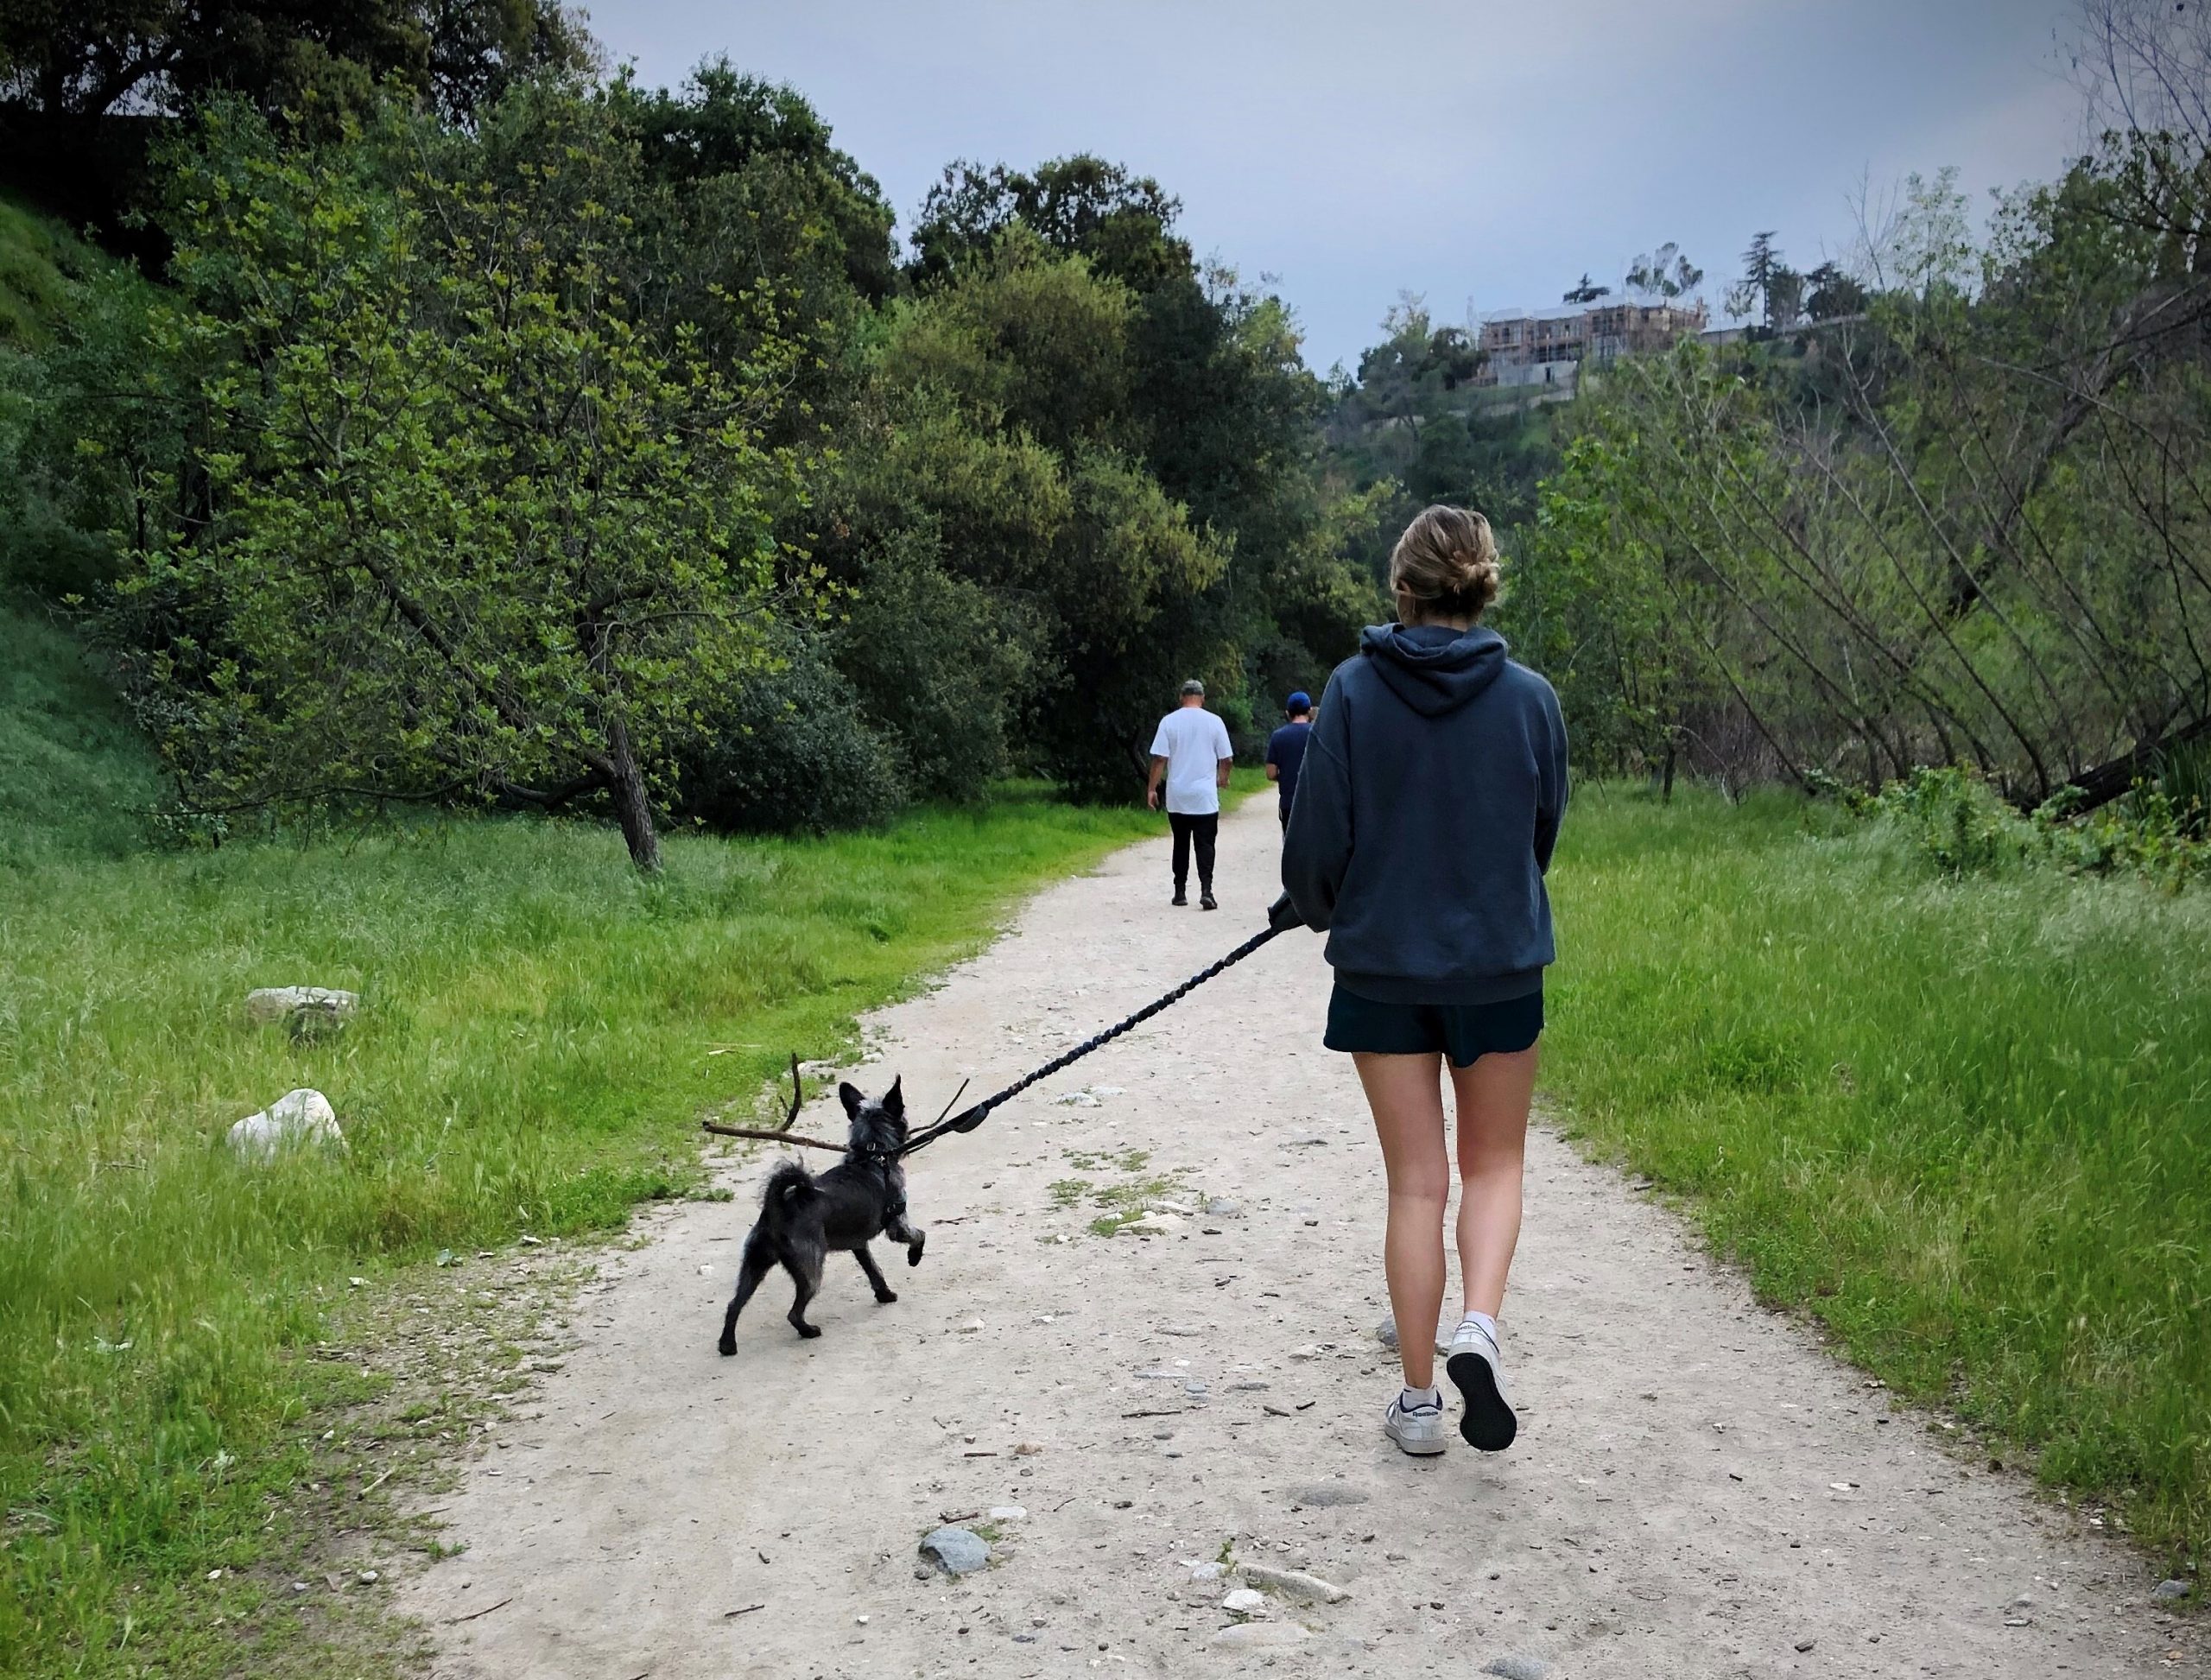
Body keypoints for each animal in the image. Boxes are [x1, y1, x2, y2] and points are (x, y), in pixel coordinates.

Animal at [716, 1074, 924, 1353]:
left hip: (754, 1266)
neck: (871, 1155)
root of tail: (777, 1209)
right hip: (810, 1270)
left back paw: (727, 1345)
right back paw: (808, 1331)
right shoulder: (898, 1226)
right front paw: (914, 1257)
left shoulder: (859, 1245)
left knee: (734, 1305)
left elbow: (873, 1270)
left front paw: (884, 1294)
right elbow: (919, 1235)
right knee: (793, 1313)